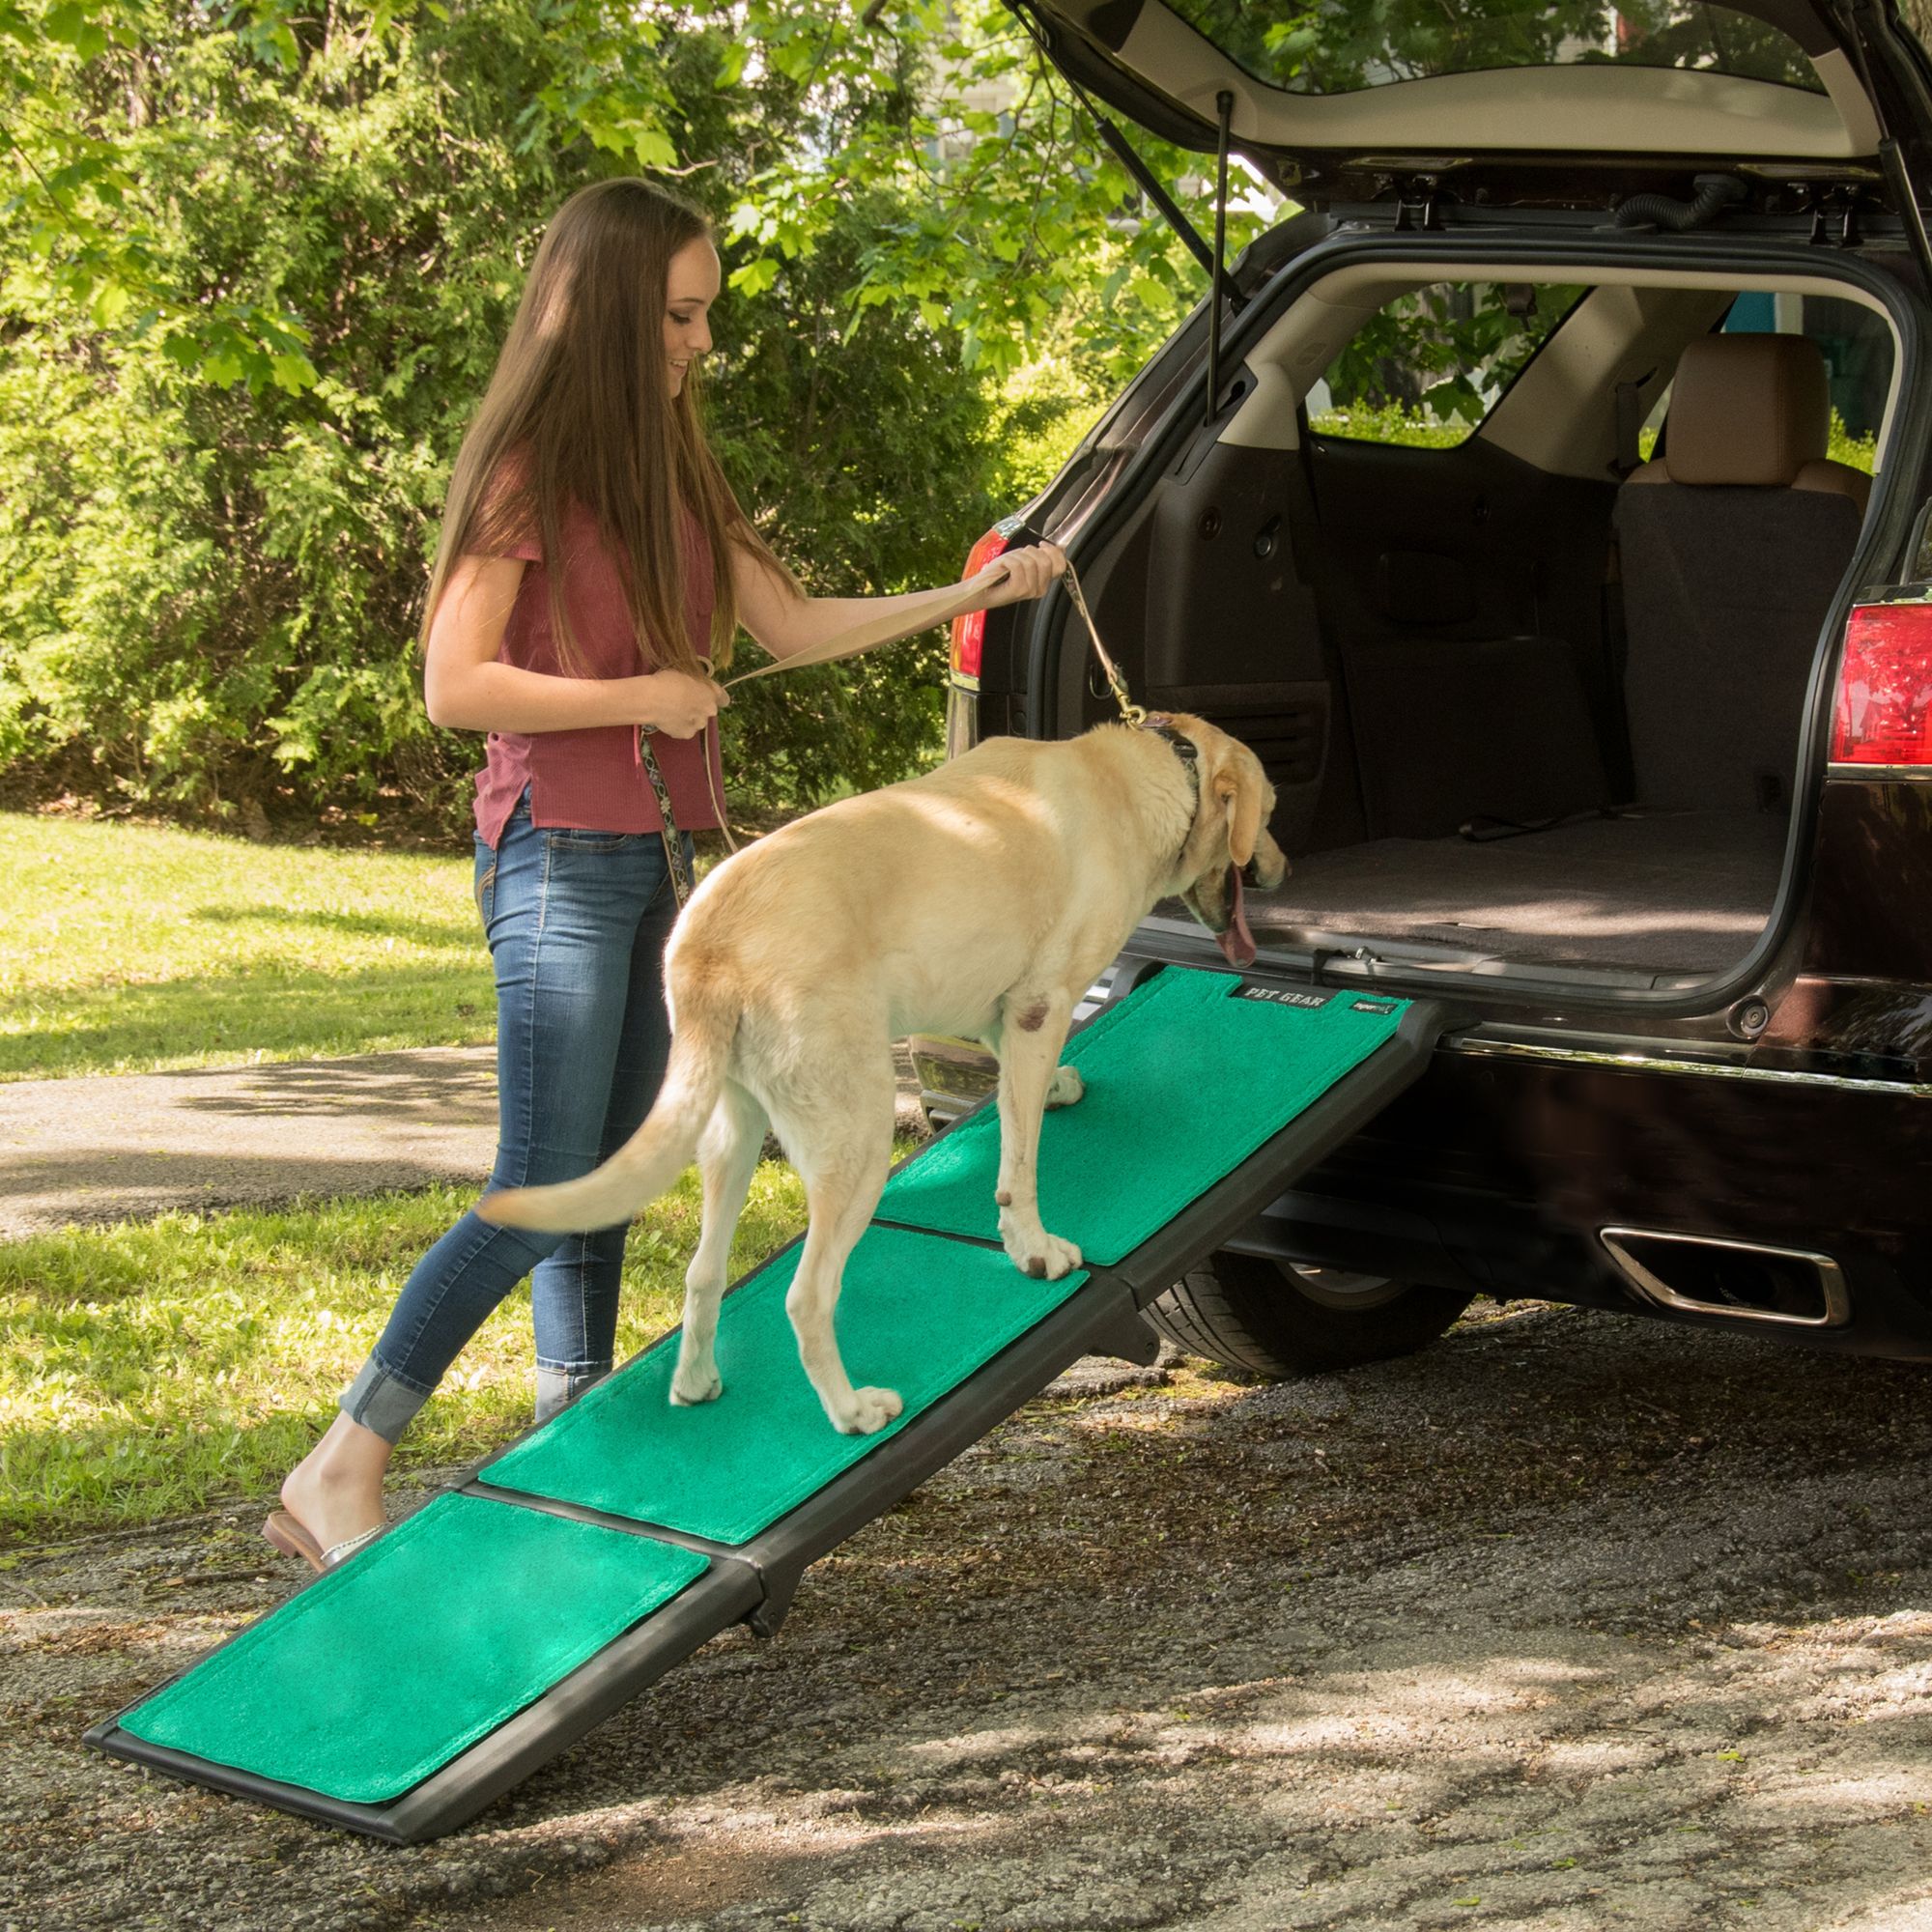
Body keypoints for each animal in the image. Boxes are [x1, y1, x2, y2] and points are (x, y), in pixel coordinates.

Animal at [475, 715, 1283, 1437]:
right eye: (1271, 814)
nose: (1278, 869)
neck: (1155, 769)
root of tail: (713, 937)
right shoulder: (1037, 1007)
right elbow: (1018, 1162)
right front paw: (1033, 1247)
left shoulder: (1005, 1011)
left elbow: (1016, 1092)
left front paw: (1057, 1087)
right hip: (855, 1141)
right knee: (806, 1298)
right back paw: (852, 1412)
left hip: (730, 1133)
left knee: (703, 1273)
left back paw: (698, 1381)